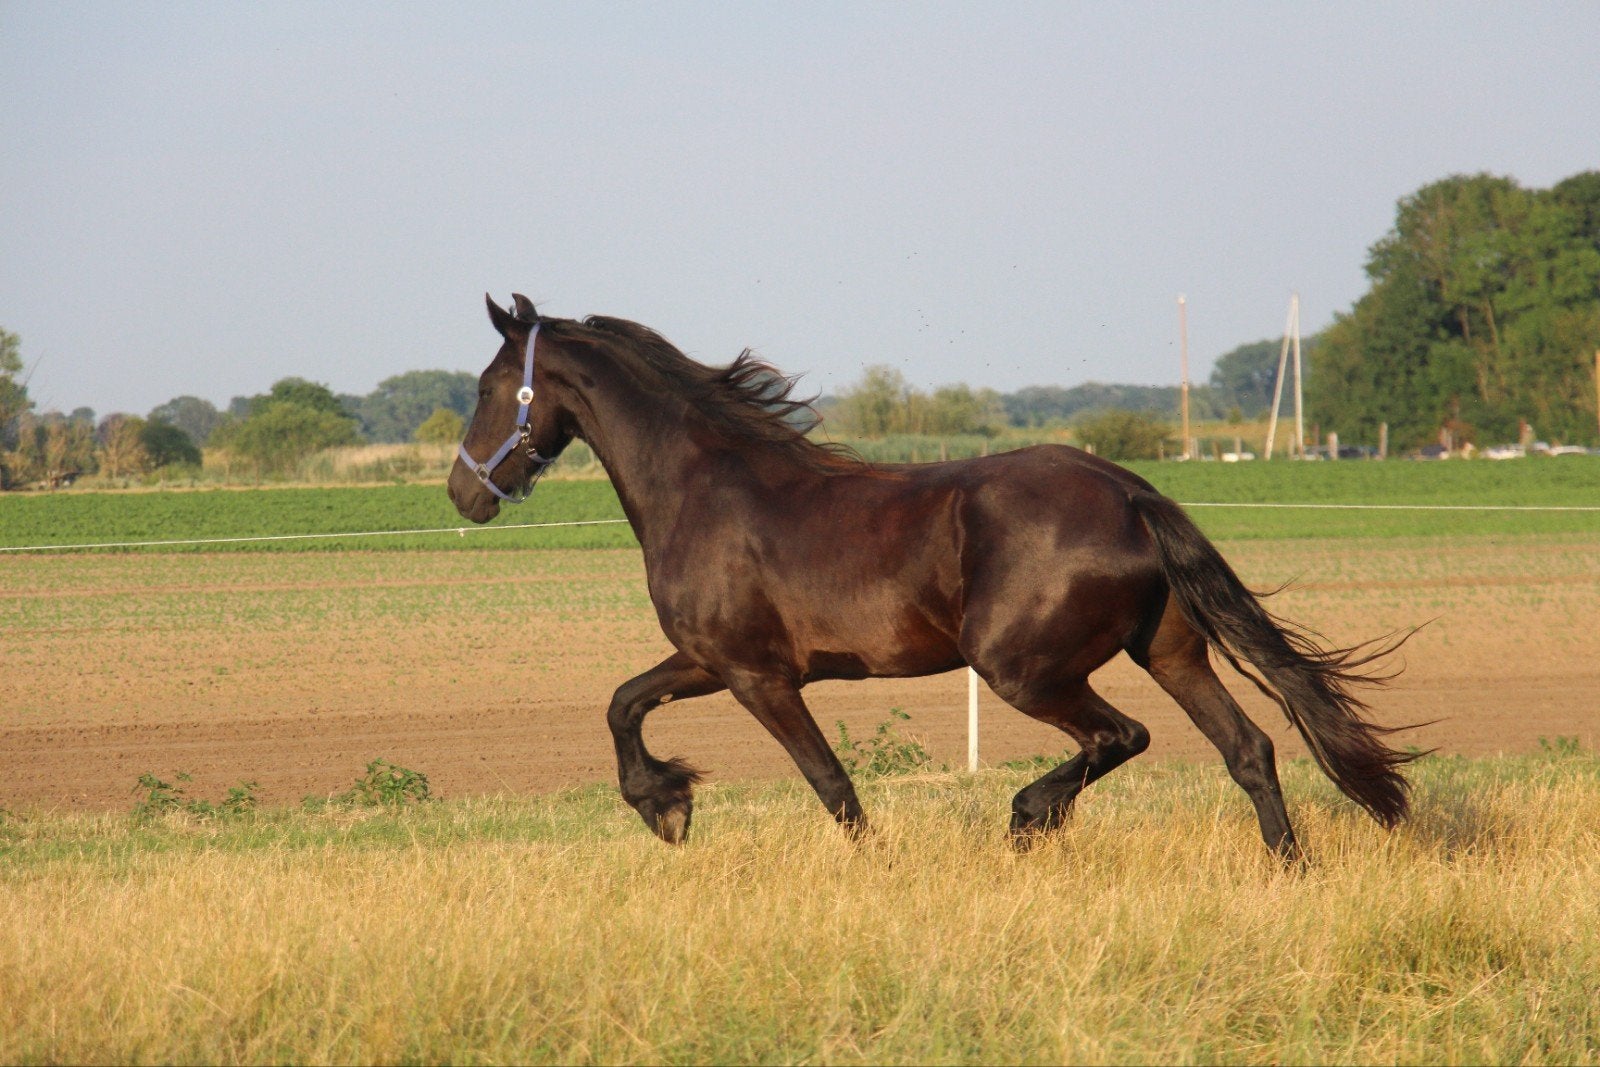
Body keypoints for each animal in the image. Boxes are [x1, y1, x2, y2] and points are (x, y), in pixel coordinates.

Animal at [448, 294, 1419, 861]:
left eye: (489, 389)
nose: (464, 492)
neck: (702, 485)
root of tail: (1130, 491)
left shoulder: (759, 676)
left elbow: (831, 784)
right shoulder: (706, 660)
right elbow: (622, 701)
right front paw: (667, 806)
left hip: (1022, 667)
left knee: (1123, 736)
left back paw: (1028, 817)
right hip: (1170, 651)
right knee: (1248, 748)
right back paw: (1287, 867)